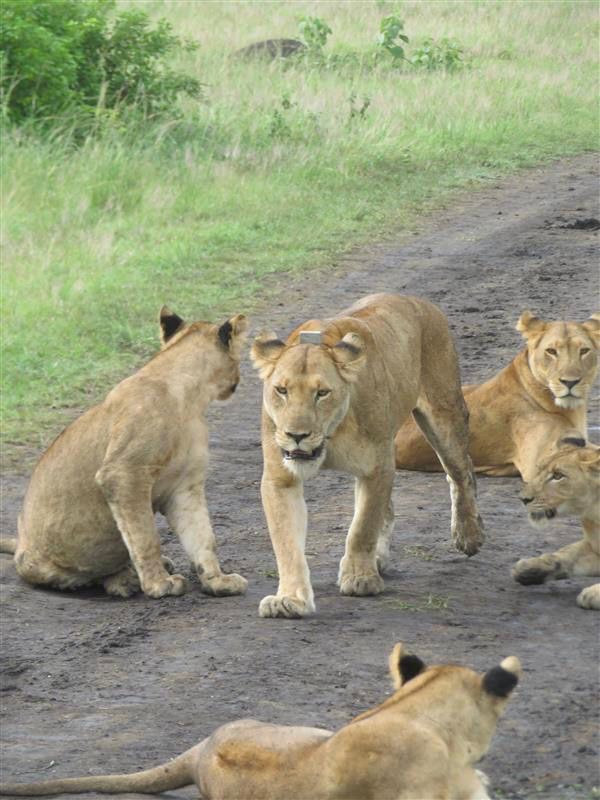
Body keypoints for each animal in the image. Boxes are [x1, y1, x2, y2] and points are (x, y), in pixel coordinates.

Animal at [0, 308, 248, 600]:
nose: (238, 381)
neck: (191, 401)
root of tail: (20, 544)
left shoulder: (185, 486)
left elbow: (203, 537)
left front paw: (217, 581)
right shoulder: (124, 473)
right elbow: (145, 535)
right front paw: (159, 585)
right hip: (49, 563)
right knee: (88, 576)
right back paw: (124, 580)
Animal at [251, 293, 484, 619]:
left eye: (322, 393)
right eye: (281, 390)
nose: (297, 435)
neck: (331, 433)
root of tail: (416, 301)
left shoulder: (376, 466)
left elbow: (362, 526)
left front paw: (360, 578)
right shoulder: (279, 477)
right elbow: (286, 542)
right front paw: (289, 599)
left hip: (443, 415)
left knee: (462, 473)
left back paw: (468, 534)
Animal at [512, 435, 600, 609]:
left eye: (558, 476)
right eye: (539, 470)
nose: (523, 499)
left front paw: (593, 594)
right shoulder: (593, 546)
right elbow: (568, 553)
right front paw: (530, 568)